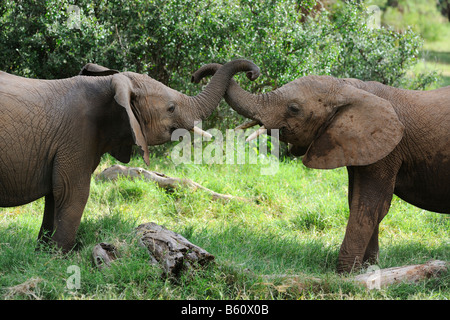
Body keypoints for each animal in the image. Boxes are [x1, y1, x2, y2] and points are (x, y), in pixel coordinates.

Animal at [0, 58, 260, 252]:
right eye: (171, 108)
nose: (253, 73)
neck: (109, 85)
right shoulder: (76, 137)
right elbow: (72, 193)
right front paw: (58, 259)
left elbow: (55, 196)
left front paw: (43, 255)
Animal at [193, 63, 450, 274]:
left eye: (294, 108)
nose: (251, 72)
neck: (352, 87)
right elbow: (359, 201)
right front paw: (368, 269)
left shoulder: (390, 150)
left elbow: (370, 206)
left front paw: (346, 274)